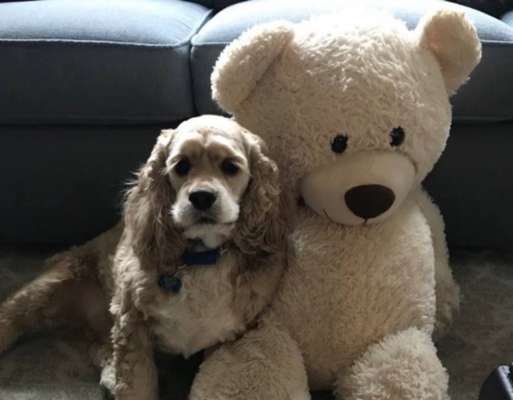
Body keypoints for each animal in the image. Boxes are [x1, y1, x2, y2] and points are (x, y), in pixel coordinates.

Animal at [0, 115, 286, 400]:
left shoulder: (228, 334)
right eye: (182, 166)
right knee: (12, 312)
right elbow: (137, 383)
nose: (201, 197)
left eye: (230, 167)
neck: (202, 256)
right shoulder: (131, 324)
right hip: (53, 286)